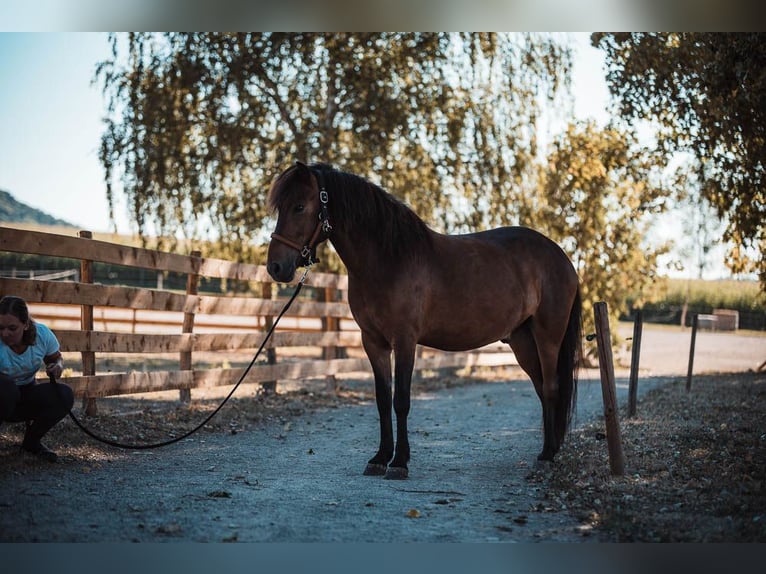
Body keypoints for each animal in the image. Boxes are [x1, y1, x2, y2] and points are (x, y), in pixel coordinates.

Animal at [266, 162, 584, 482]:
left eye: (299, 206)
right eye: (280, 207)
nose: (275, 267)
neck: (388, 260)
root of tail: (561, 257)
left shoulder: (405, 340)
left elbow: (401, 400)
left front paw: (399, 462)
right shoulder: (373, 342)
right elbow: (383, 399)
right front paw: (380, 458)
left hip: (548, 336)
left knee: (551, 387)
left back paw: (547, 455)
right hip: (522, 340)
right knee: (542, 388)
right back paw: (548, 449)